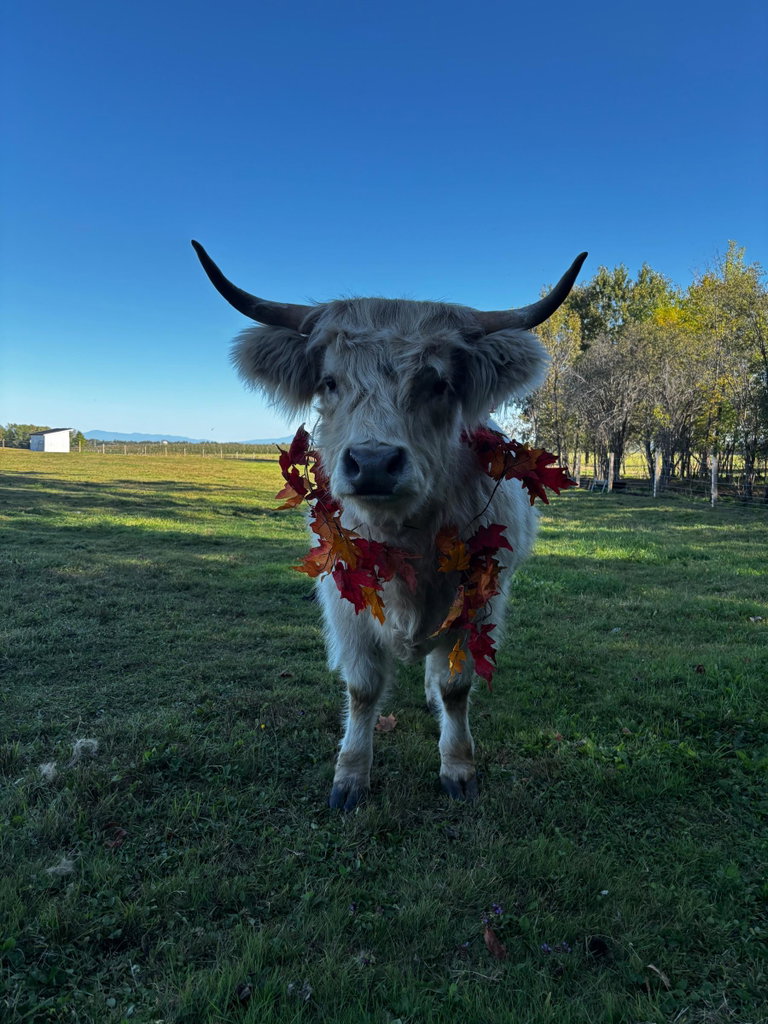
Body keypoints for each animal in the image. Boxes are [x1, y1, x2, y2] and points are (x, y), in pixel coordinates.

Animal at [192, 241, 586, 809]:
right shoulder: (345, 602)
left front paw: (458, 767)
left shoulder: (481, 601)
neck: (408, 546)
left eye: (438, 382)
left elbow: (456, 686)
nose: (374, 463)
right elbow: (362, 690)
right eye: (329, 381)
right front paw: (351, 775)